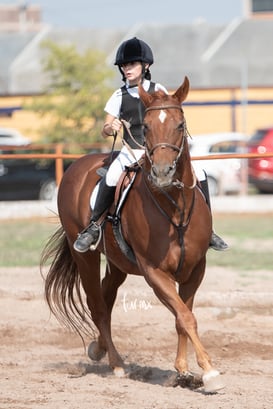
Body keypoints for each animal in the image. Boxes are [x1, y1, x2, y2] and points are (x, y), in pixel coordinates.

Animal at [42, 77, 224, 392]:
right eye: (147, 126)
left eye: (180, 124)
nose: (162, 173)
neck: (174, 208)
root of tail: (78, 165)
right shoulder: (154, 272)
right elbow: (186, 317)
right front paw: (210, 372)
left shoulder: (194, 269)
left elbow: (182, 317)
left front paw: (183, 370)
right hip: (86, 258)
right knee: (97, 305)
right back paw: (116, 364)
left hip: (118, 264)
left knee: (106, 299)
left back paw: (99, 348)